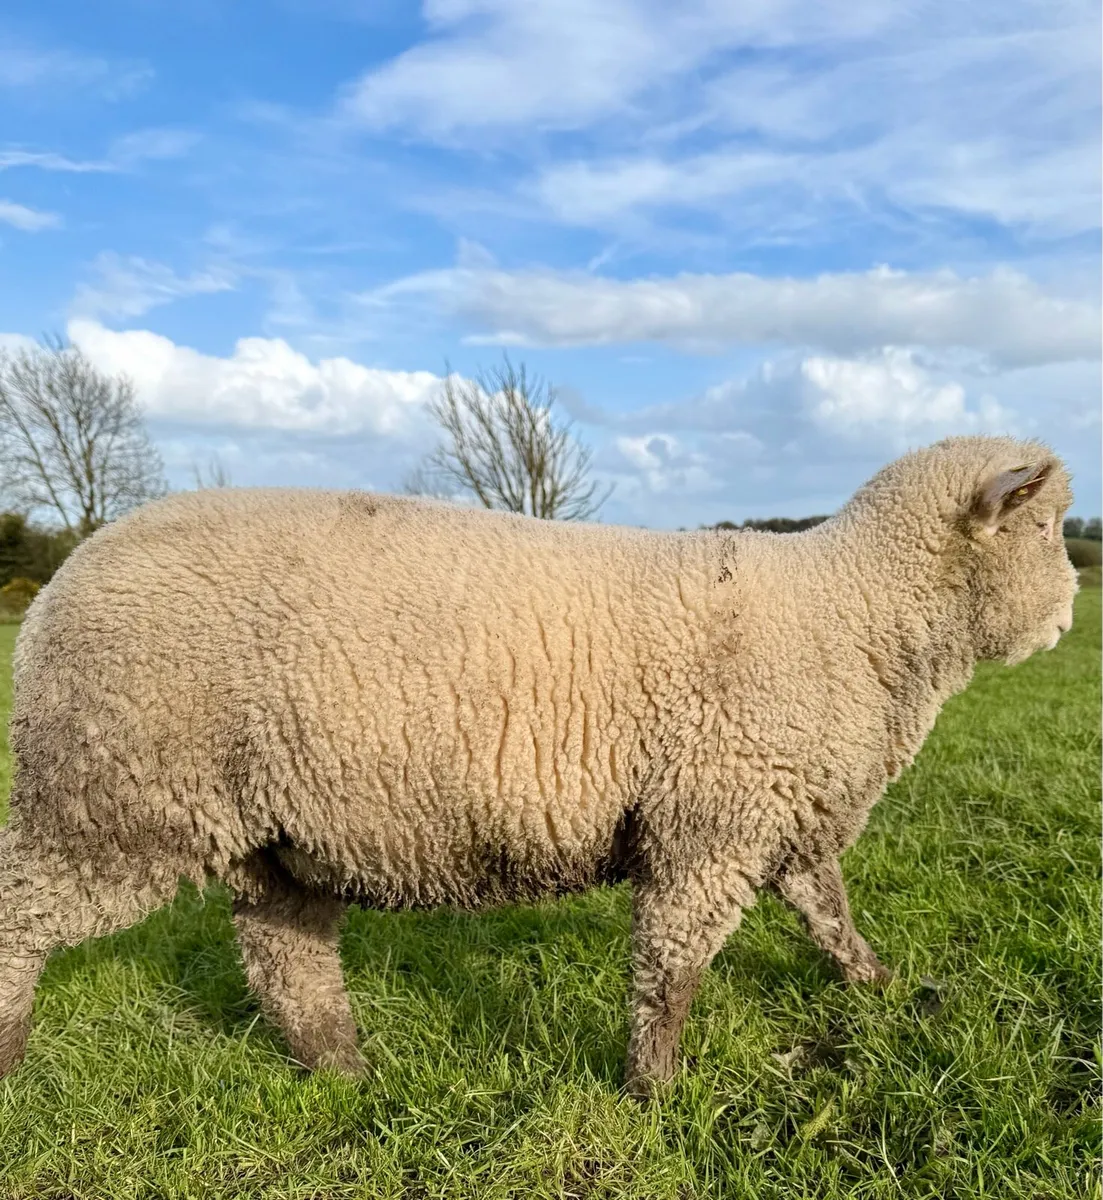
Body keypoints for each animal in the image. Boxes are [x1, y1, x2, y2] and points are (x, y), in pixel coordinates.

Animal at [0, 434, 1078, 1095]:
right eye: (1038, 528)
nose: (1072, 609)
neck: (855, 612)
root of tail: (66, 577)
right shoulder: (709, 823)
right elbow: (670, 968)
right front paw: (655, 1092)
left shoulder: (779, 814)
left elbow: (828, 915)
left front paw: (881, 988)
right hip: (110, 800)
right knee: (23, 918)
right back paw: (12, 1061)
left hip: (272, 831)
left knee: (285, 958)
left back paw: (345, 1075)